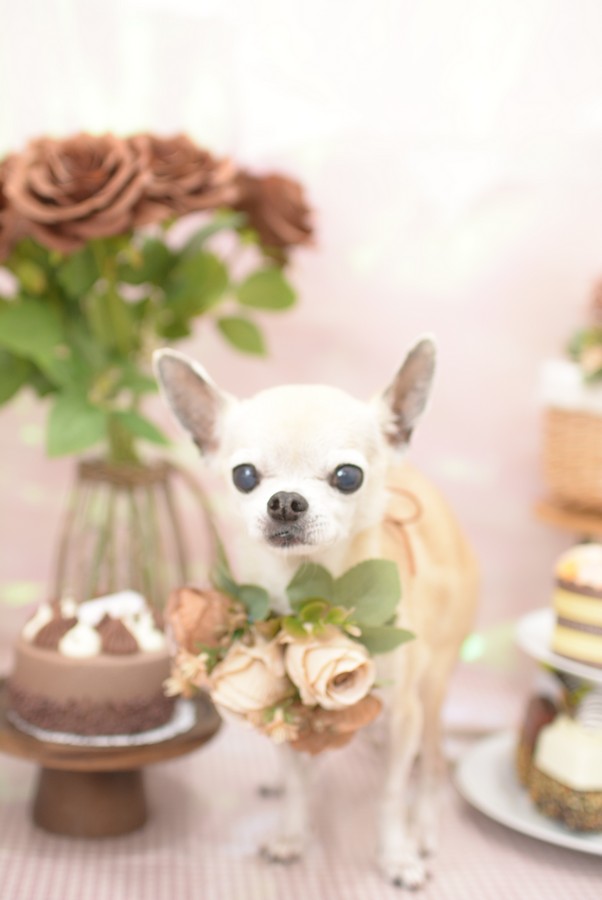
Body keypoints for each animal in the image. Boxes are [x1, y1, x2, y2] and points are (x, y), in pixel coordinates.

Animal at [154, 337, 478, 889]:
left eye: (348, 477)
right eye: (244, 476)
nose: (286, 501)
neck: (311, 595)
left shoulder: (404, 716)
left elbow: (391, 794)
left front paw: (396, 855)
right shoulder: (281, 705)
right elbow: (297, 780)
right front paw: (292, 833)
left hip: (435, 687)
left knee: (433, 765)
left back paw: (424, 827)